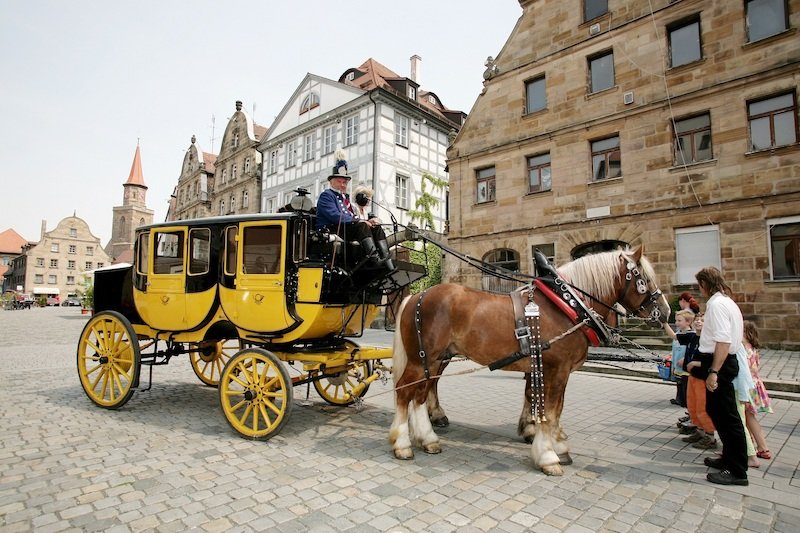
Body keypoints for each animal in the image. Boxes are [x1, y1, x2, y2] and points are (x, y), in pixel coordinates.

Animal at [388, 245, 668, 474]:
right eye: (644, 279)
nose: (665, 312)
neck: (567, 305)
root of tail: (416, 296)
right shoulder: (555, 369)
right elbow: (548, 411)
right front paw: (548, 455)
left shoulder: (554, 371)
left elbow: (552, 409)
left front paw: (555, 444)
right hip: (420, 360)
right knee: (404, 393)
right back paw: (402, 444)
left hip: (432, 361)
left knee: (420, 395)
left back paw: (428, 439)